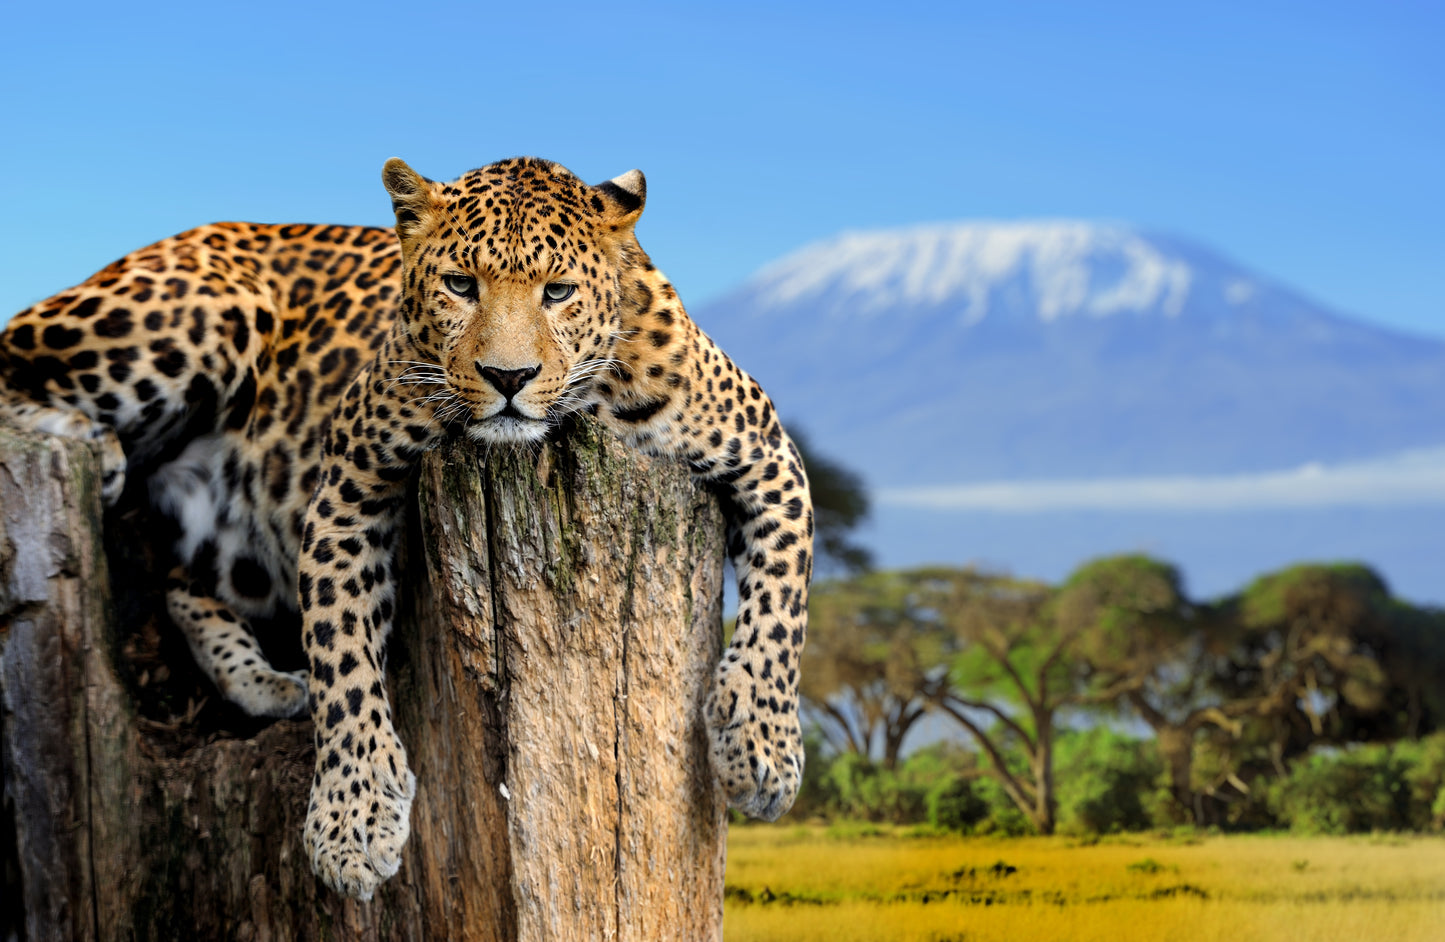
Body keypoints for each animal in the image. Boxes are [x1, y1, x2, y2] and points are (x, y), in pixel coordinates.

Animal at [0, 156, 813, 899]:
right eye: (460, 285)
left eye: (557, 292)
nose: (508, 378)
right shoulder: (347, 487)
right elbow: (342, 656)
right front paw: (353, 822)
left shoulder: (770, 455)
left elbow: (783, 605)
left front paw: (761, 750)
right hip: (198, 312)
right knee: (14, 358)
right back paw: (96, 446)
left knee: (181, 582)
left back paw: (266, 682)